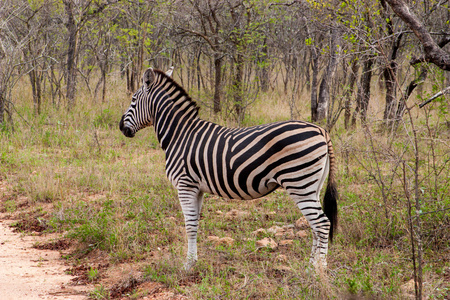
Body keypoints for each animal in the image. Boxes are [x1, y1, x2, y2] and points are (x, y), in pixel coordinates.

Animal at [119, 67, 338, 272]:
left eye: (133, 99)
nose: (121, 127)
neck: (180, 135)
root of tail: (321, 130)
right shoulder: (197, 189)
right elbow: (195, 224)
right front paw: (194, 261)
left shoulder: (185, 184)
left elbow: (189, 225)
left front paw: (188, 265)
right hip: (312, 185)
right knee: (315, 226)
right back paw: (310, 267)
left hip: (299, 183)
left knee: (322, 224)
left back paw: (319, 270)